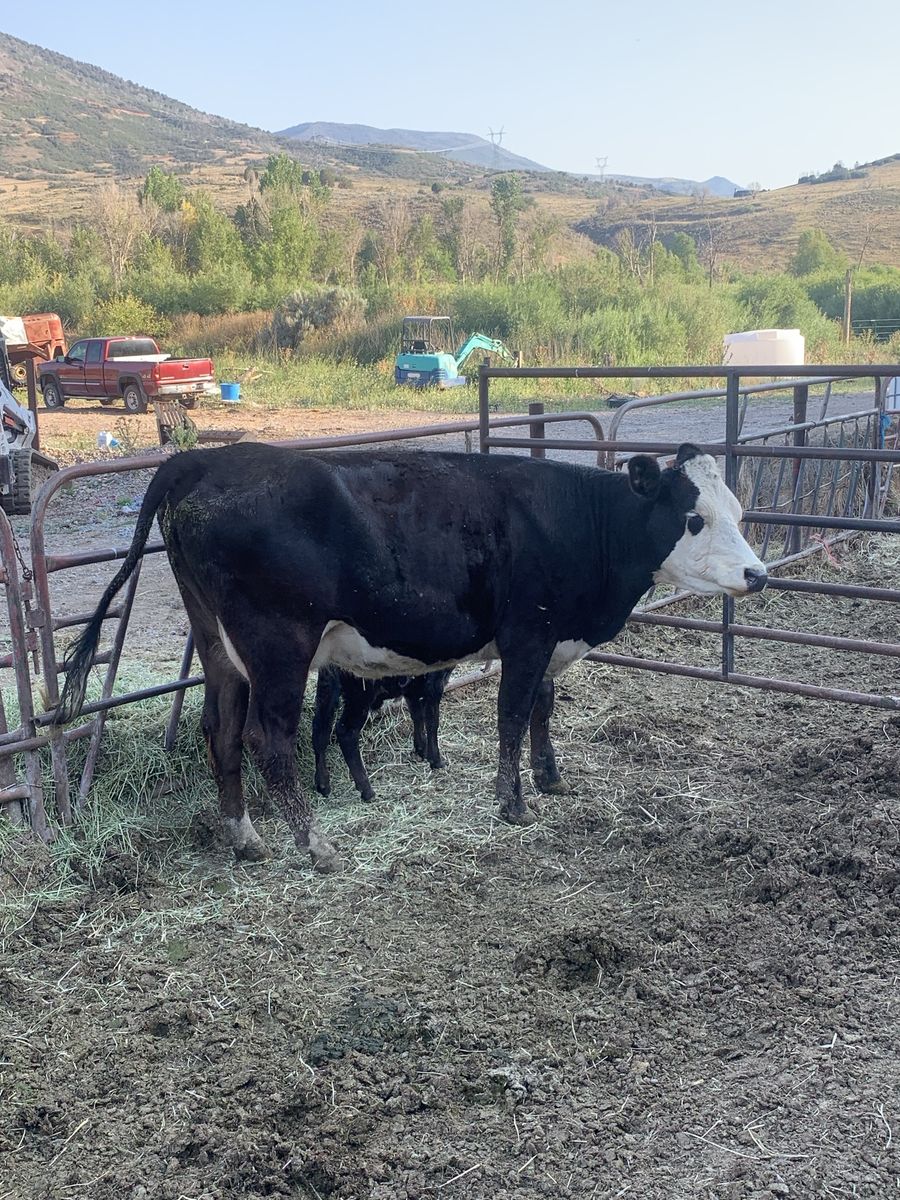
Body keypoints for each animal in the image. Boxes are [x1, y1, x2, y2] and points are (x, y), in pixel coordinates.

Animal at [312, 666, 453, 802]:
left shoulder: (412, 686)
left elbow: (417, 715)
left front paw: (422, 750)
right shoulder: (434, 682)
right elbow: (432, 722)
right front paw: (437, 761)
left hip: (327, 687)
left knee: (320, 730)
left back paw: (323, 784)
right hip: (359, 695)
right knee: (346, 733)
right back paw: (367, 791)